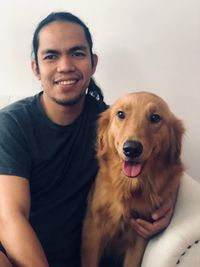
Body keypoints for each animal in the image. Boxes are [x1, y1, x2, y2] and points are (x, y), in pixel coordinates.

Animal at [81, 92, 184, 267]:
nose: (132, 149)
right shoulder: (93, 231)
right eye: (121, 114)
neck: (129, 186)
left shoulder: (139, 235)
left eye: (155, 117)